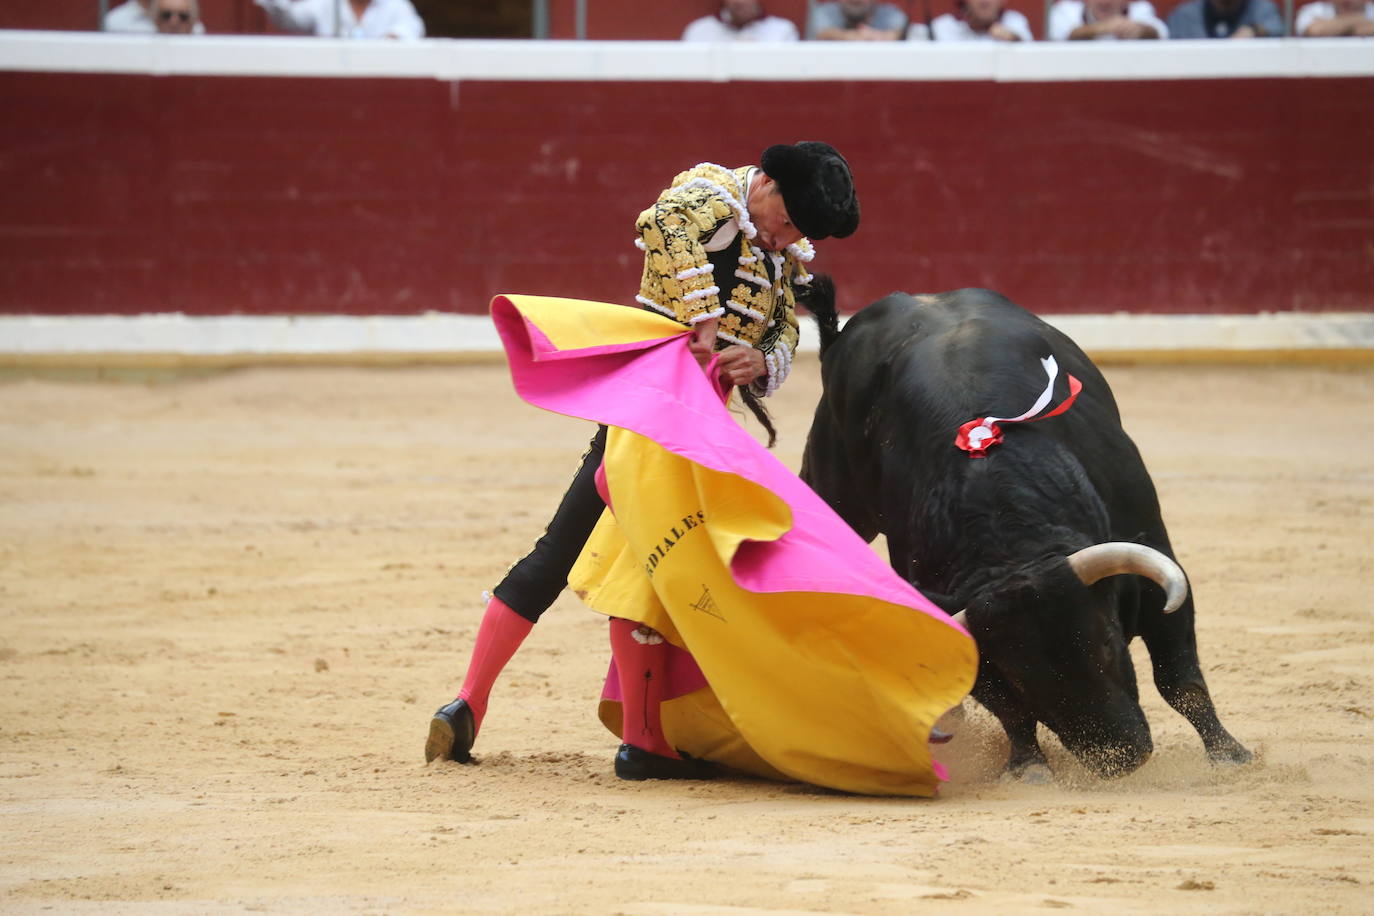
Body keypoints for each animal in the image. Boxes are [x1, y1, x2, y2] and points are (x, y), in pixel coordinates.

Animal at [802, 287, 1253, 780]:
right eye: (1022, 677)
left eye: (1108, 641)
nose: (1121, 757)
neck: (1009, 537)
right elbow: (1009, 711)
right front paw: (1029, 765)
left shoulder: (1156, 570)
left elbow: (1179, 680)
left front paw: (1230, 755)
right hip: (832, 489)